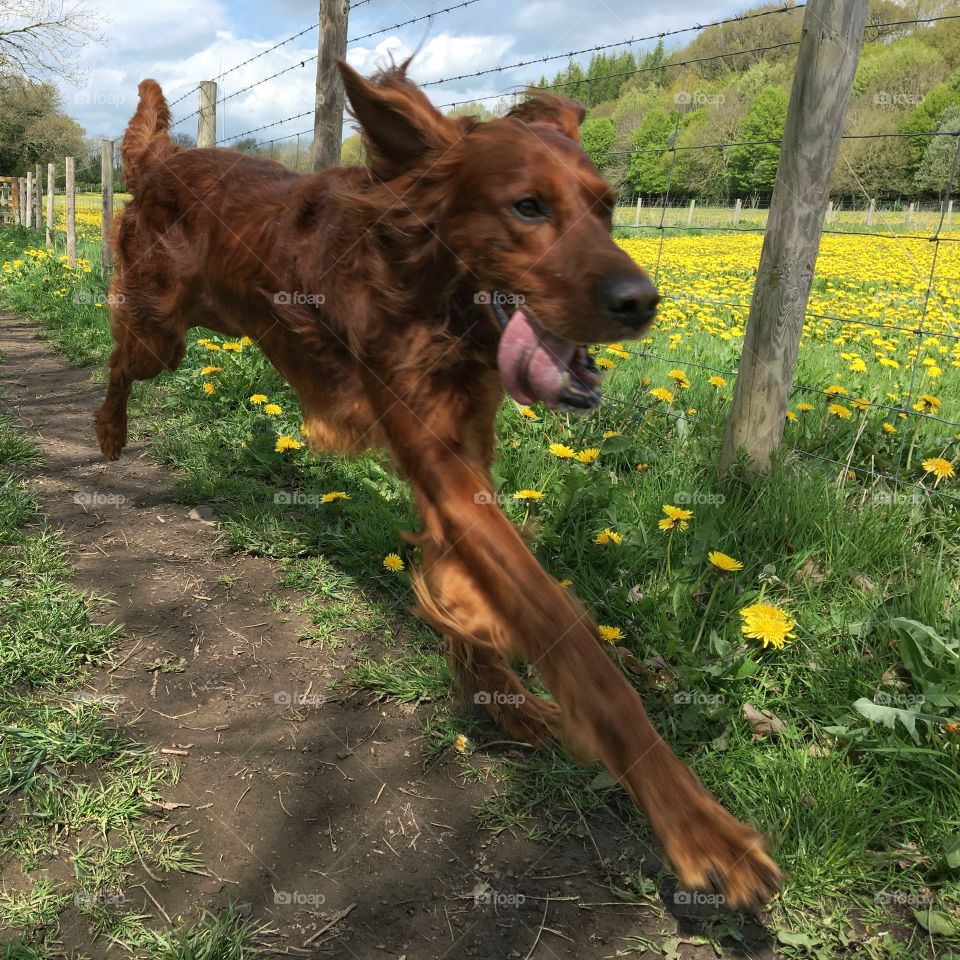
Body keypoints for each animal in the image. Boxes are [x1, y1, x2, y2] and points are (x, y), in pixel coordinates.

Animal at [95, 62, 780, 908]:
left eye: (607, 206)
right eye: (527, 206)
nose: (640, 301)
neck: (434, 292)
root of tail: (164, 159)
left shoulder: (464, 454)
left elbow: (471, 586)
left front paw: (495, 688)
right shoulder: (434, 452)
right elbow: (567, 632)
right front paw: (697, 826)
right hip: (162, 329)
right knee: (118, 356)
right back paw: (108, 433)